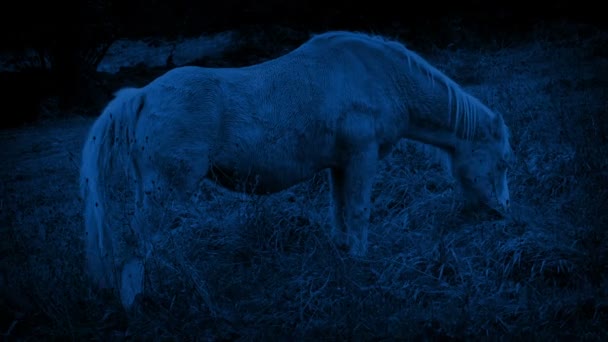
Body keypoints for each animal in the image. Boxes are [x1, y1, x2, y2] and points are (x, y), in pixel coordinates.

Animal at [79, 30, 512, 310]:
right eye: (503, 162)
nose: (502, 213)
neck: (380, 75)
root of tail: (142, 95)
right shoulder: (363, 157)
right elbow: (359, 212)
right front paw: (360, 263)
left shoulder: (341, 165)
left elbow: (340, 212)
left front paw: (343, 253)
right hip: (166, 190)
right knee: (135, 243)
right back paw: (136, 304)